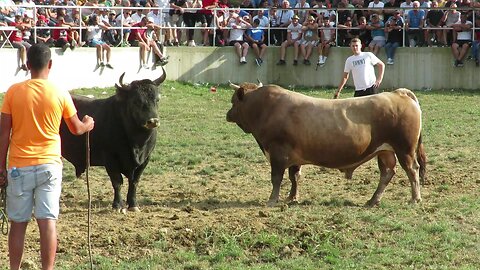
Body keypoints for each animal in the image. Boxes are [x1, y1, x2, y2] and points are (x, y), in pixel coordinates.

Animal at [60, 69, 167, 211]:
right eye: (136, 101)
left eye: (157, 99)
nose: (153, 121)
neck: (137, 143)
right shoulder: (110, 158)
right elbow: (117, 182)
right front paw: (117, 205)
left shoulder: (145, 159)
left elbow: (134, 182)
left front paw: (133, 204)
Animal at [227, 83, 426, 207]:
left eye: (233, 101)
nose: (228, 114)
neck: (266, 108)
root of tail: (397, 93)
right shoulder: (293, 157)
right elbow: (294, 177)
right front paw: (292, 198)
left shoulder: (277, 153)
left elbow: (276, 178)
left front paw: (272, 200)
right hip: (385, 151)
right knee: (387, 173)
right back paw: (373, 200)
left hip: (404, 149)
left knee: (412, 170)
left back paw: (415, 198)